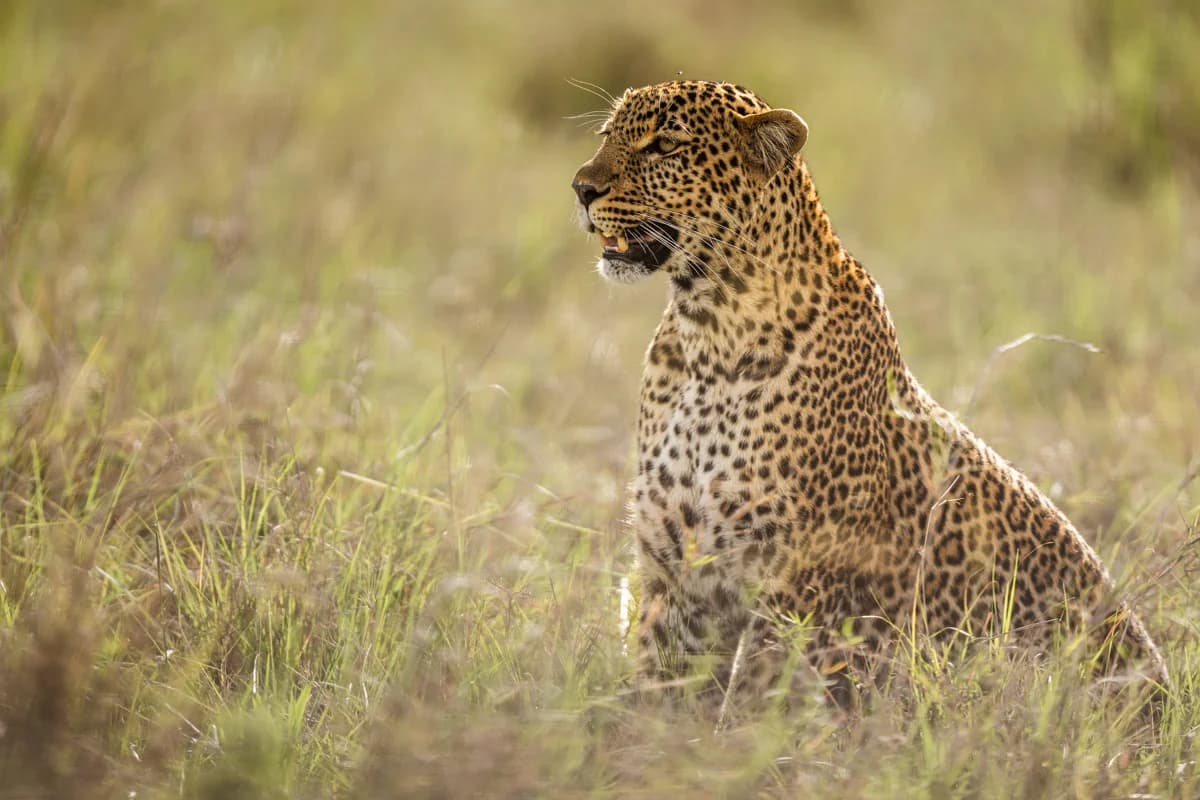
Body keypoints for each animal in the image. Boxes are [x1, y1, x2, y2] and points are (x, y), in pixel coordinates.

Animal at [571, 80, 1168, 721]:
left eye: (665, 145)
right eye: (607, 135)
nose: (581, 187)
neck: (707, 331)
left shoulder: (798, 583)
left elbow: (754, 699)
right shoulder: (671, 563)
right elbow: (657, 691)